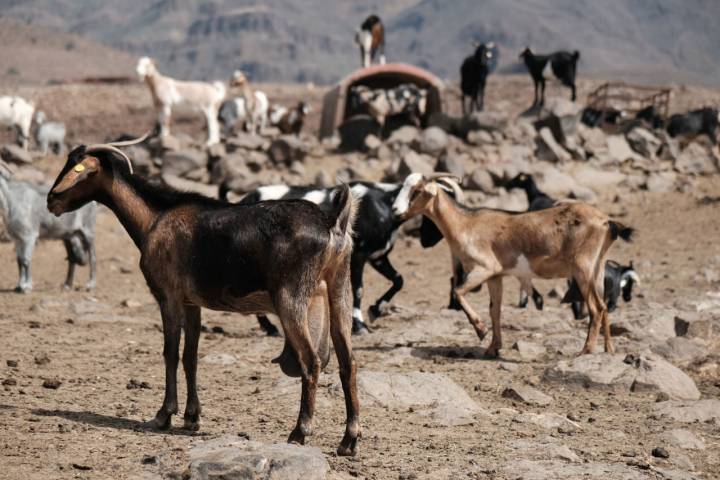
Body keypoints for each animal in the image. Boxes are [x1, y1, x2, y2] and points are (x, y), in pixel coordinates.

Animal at [0, 160, 96, 292]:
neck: (11, 202)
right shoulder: (18, 239)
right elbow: (19, 261)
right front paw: (19, 286)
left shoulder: (29, 236)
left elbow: (26, 260)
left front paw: (26, 287)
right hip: (70, 235)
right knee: (72, 258)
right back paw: (67, 285)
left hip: (88, 230)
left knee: (92, 255)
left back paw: (90, 285)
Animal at [45, 142, 360, 454]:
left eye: (80, 170)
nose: (51, 200)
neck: (154, 219)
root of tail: (333, 223)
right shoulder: (191, 302)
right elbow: (190, 356)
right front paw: (191, 417)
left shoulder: (168, 295)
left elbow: (170, 353)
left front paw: (164, 414)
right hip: (340, 289)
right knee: (349, 362)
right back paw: (349, 440)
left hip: (292, 297)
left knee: (311, 361)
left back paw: (299, 432)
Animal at [219, 178, 456, 336]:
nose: (428, 240)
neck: (384, 203)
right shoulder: (358, 254)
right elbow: (358, 289)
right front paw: (360, 325)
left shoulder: (378, 256)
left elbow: (399, 280)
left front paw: (375, 310)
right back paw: (269, 327)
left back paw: (270, 327)